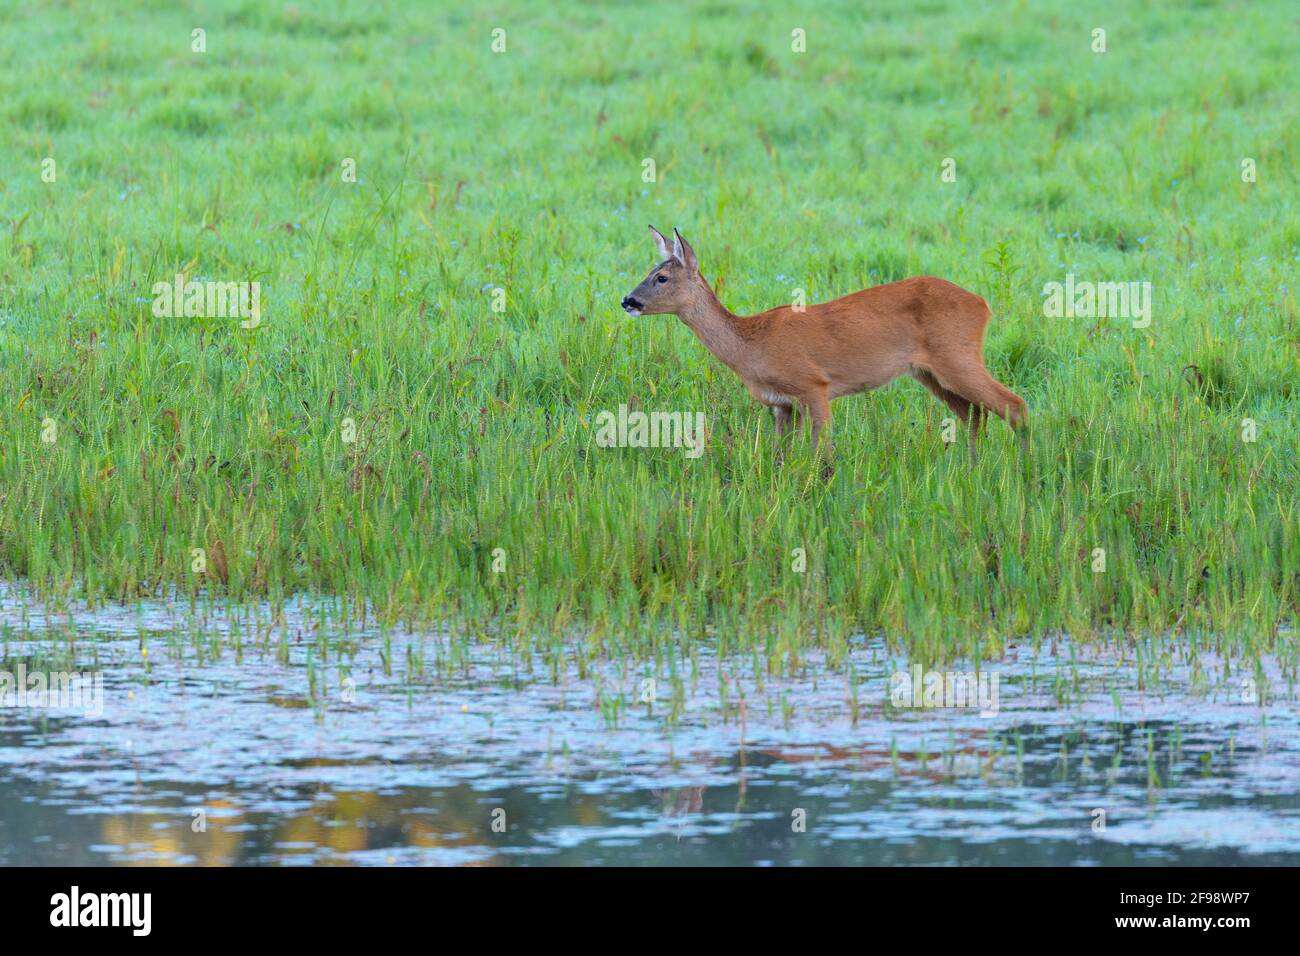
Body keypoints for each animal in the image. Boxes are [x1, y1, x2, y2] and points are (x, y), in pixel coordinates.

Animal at [618, 227, 1024, 460]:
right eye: (649, 272)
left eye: (662, 277)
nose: (628, 301)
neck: (751, 346)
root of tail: (982, 304)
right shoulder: (782, 405)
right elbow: (780, 456)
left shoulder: (814, 386)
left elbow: (821, 454)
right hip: (929, 372)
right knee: (974, 414)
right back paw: (971, 469)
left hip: (957, 355)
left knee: (1013, 405)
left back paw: (1024, 468)